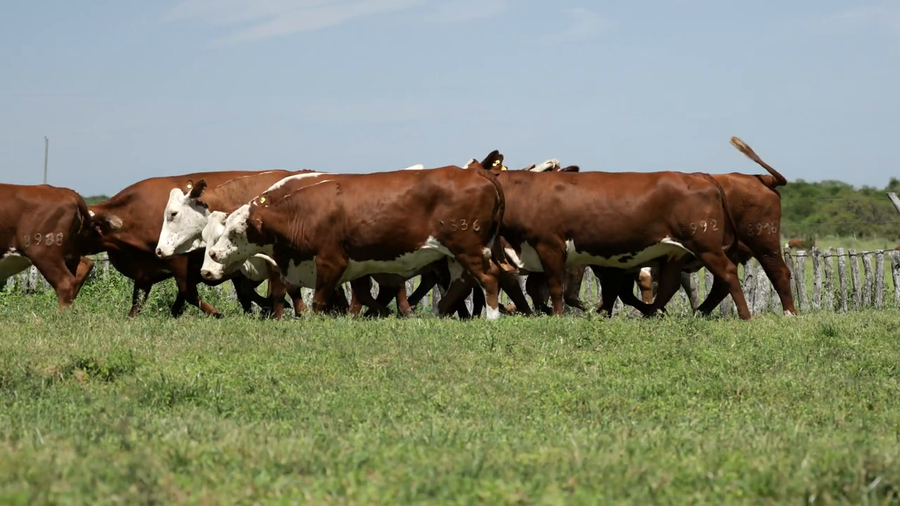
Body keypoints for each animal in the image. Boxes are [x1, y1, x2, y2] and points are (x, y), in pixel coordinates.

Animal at [86, 170, 303, 318]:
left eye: (173, 214)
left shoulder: (179, 262)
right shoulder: (145, 273)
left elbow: (187, 292)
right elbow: (138, 302)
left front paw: (217, 314)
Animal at [199, 164, 509, 319]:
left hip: (467, 248)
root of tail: (473, 171)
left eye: (236, 231)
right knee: (462, 283)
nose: (212, 257)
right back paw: (438, 314)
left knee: (488, 277)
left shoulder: (331, 262)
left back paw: (491, 317)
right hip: (455, 254)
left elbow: (320, 301)